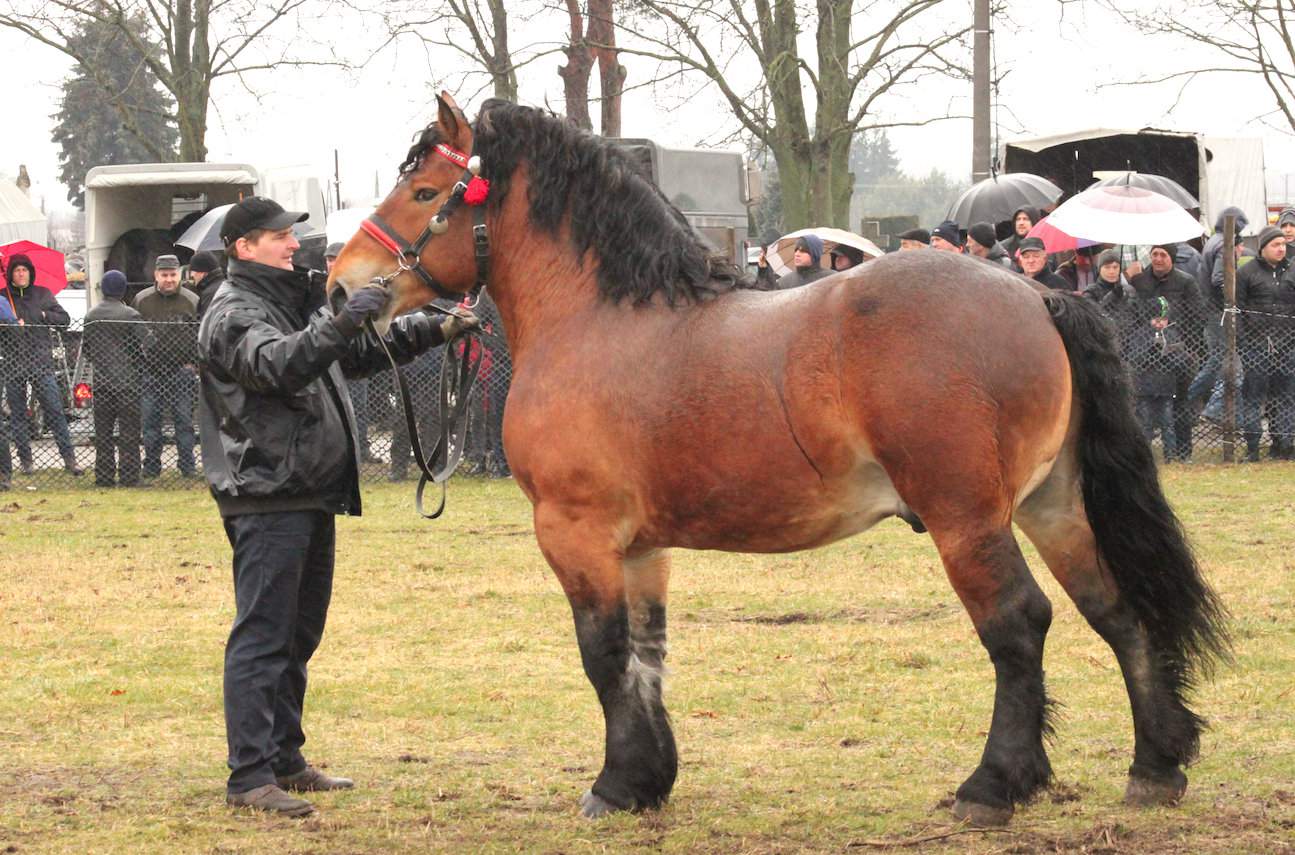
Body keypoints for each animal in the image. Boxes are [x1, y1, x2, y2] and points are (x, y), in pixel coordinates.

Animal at [328, 95, 1227, 829]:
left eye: (422, 193)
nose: (341, 287)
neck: (601, 319)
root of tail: (1036, 294)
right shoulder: (642, 546)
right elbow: (647, 653)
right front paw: (649, 780)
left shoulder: (576, 531)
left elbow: (603, 653)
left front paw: (613, 787)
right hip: (1053, 504)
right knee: (1113, 609)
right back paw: (1153, 765)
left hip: (965, 518)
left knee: (1017, 624)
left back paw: (992, 785)